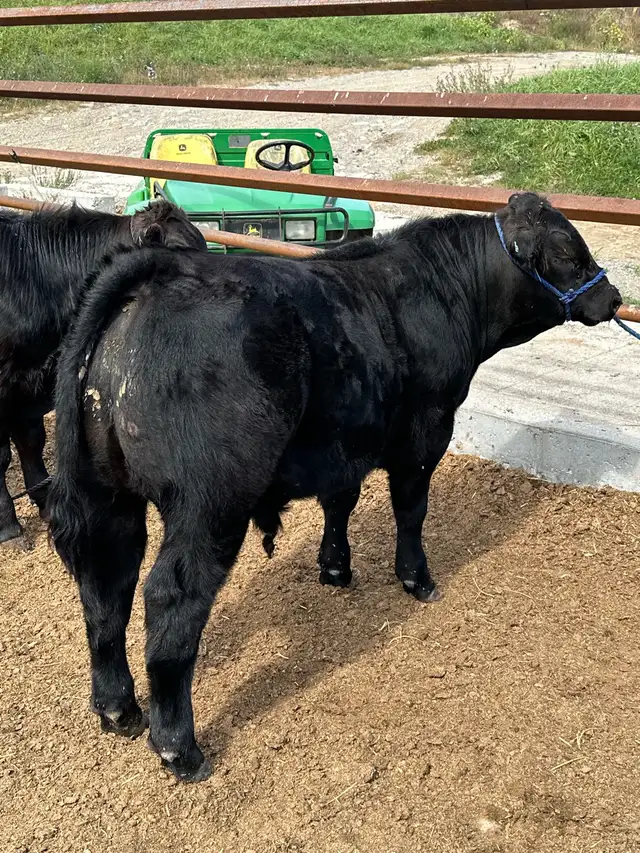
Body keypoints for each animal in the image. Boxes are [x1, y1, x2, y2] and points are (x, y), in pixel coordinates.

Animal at [48, 192, 621, 782]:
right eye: (569, 253)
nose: (613, 296)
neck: (443, 289)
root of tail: (156, 275)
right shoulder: (427, 430)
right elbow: (411, 509)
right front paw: (417, 578)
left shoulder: (345, 440)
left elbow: (340, 499)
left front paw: (335, 567)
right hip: (209, 504)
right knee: (170, 598)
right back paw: (179, 748)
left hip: (107, 495)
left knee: (105, 588)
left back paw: (117, 709)